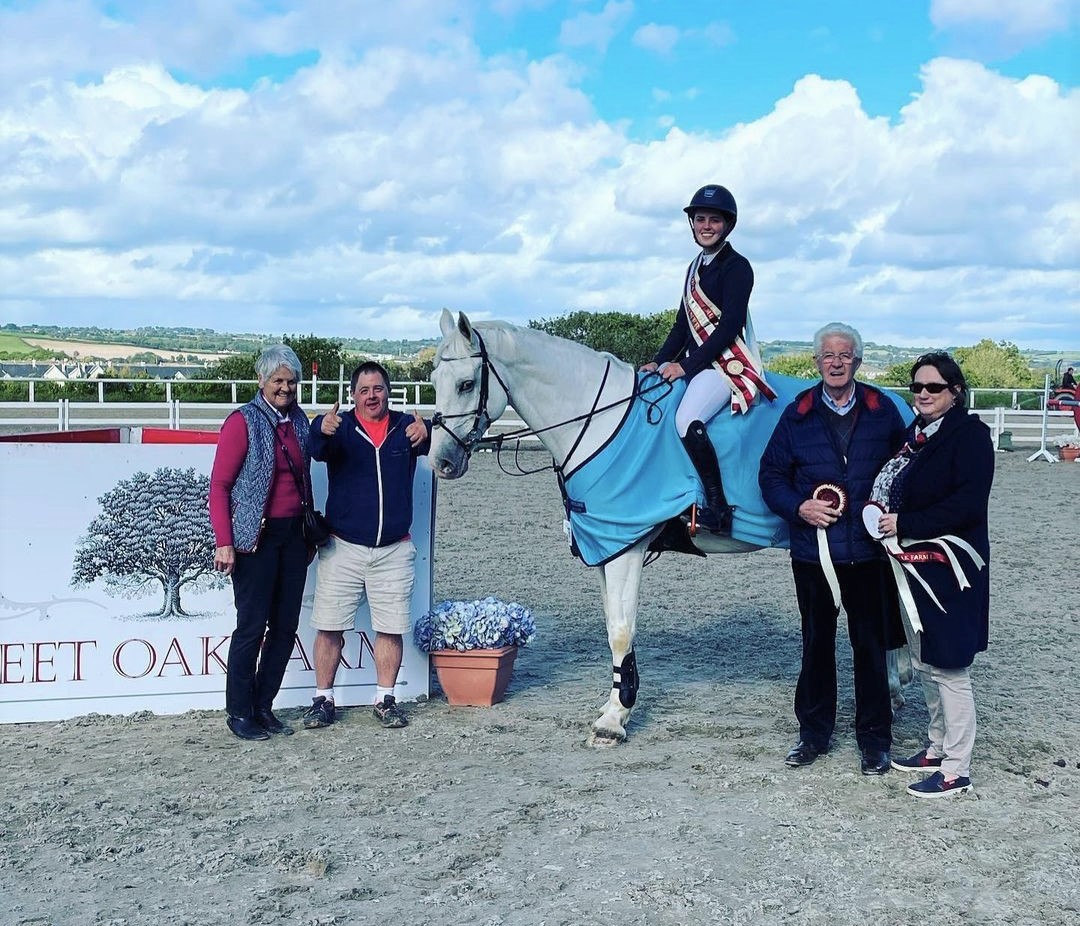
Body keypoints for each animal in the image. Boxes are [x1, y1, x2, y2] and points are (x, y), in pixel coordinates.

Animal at [429, 311, 911, 743]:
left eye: (467, 384)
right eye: (434, 381)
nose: (441, 463)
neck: (600, 422)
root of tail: (902, 405)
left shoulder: (626, 546)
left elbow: (622, 629)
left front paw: (614, 720)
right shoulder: (605, 544)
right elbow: (613, 625)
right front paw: (616, 702)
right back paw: (895, 685)